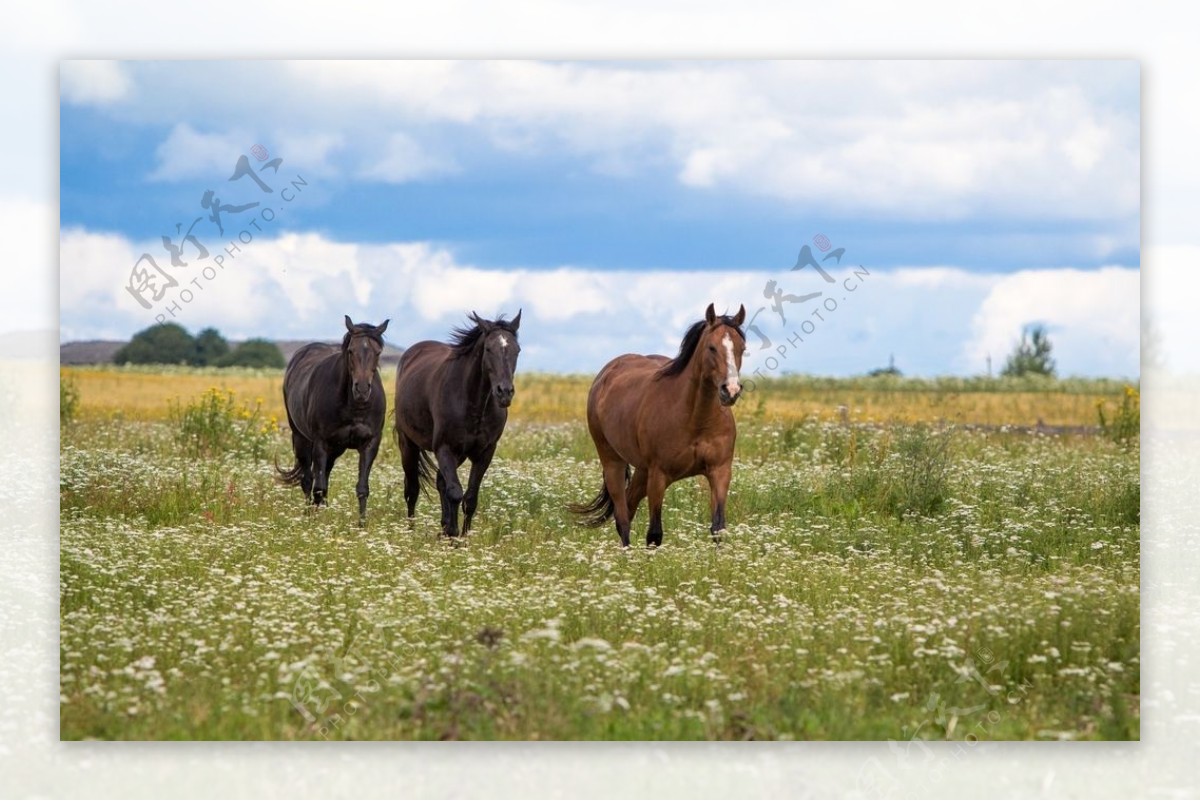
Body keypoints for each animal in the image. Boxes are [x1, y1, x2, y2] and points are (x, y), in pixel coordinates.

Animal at [276, 311, 388, 525]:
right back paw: (309, 514)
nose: (362, 389)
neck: (354, 406)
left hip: (336, 449)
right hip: (302, 439)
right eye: (351, 351)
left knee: (324, 476)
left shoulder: (370, 444)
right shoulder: (321, 442)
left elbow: (362, 488)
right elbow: (318, 487)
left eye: (378, 352)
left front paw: (362, 525)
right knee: (308, 480)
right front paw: (317, 522)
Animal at [396, 311, 523, 537]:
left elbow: (470, 498)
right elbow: (455, 492)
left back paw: (443, 526)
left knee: (440, 482)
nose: (504, 392)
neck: (473, 402)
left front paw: (463, 536)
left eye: (517, 349)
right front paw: (453, 534)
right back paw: (411, 531)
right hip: (408, 444)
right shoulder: (445, 448)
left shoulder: (484, 453)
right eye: (488, 349)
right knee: (412, 489)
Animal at [568, 303, 739, 546]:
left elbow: (718, 527)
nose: (730, 390)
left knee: (628, 506)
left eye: (742, 347)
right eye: (712, 347)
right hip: (613, 462)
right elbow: (655, 534)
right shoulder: (659, 475)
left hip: (642, 470)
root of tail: (605, 375)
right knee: (622, 517)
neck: (696, 419)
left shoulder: (720, 471)